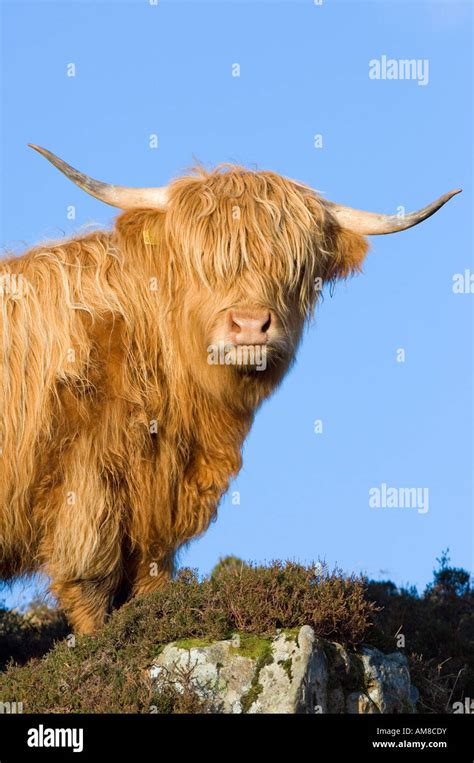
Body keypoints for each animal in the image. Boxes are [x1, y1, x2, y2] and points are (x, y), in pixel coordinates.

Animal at [0, 148, 460, 632]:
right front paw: (93, 646)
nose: (251, 325)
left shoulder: (155, 513)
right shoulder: (87, 483)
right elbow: (91, 587)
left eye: (294, 269)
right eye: (205, 263)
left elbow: (149, 584)